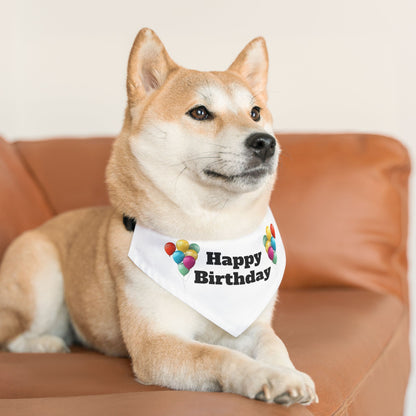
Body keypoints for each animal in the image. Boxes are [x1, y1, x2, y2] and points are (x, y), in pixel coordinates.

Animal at [0, 29, 316, 406]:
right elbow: (219, 355)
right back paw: (46, 343)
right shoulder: (156, 344)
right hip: (41, 274)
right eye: (200, 112)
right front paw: (267, 377)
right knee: (14, 335)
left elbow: (273, 343)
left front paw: (288, 372)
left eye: (255, 112)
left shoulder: (251, 324)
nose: (266, 143)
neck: (213, 232)